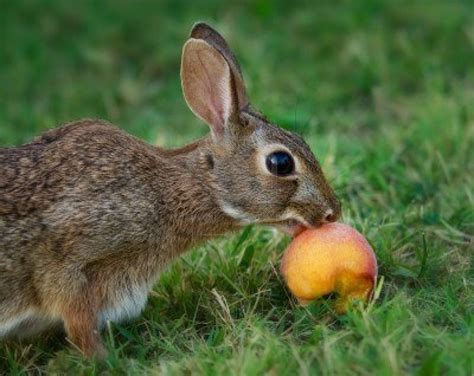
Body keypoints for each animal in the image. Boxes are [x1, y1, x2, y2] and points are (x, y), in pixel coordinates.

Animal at [0, 21, 340, 358]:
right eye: (280, 163)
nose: (332, 212)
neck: (172, 191)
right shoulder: (70, 260)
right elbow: (79, 322)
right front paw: (105, 361)